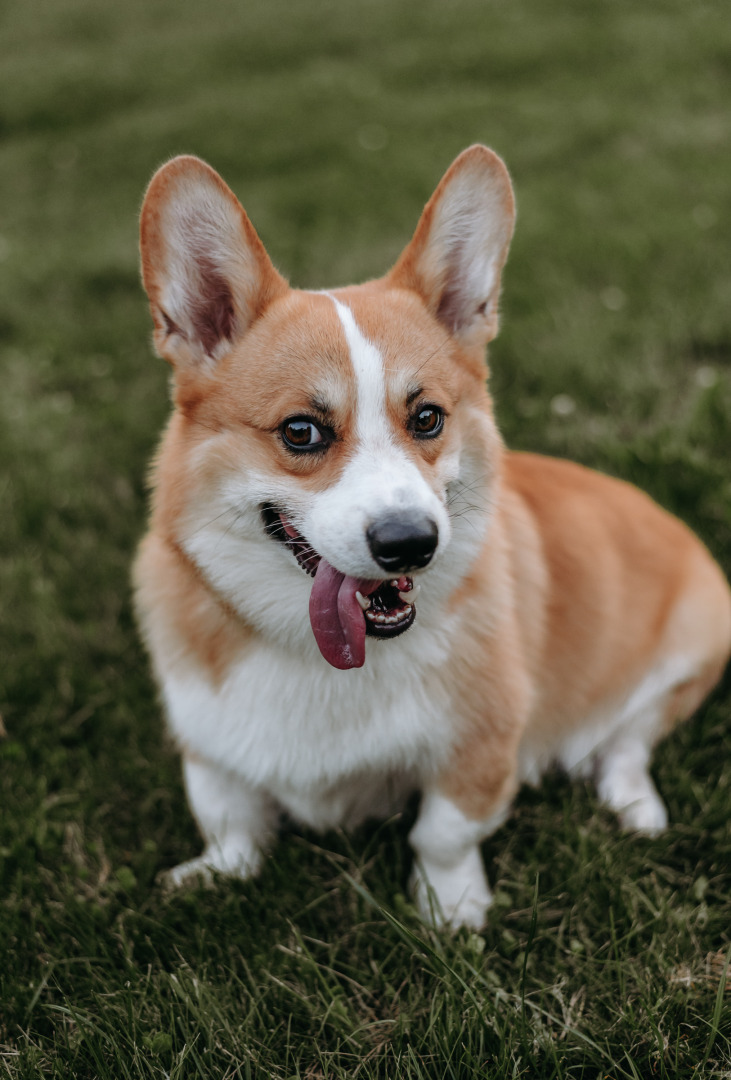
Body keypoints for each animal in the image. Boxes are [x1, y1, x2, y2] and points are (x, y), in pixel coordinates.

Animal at [135, 145, 729, 928]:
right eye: (301, 431)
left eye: (427, 419)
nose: (410, 543)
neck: (315, 654)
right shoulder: (207, 743)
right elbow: (231, 820)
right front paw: (213, 875)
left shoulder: (479, 742)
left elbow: (442, 832)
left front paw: (451, 911)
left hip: (691, 654)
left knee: (626, 742)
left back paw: (634, 804)